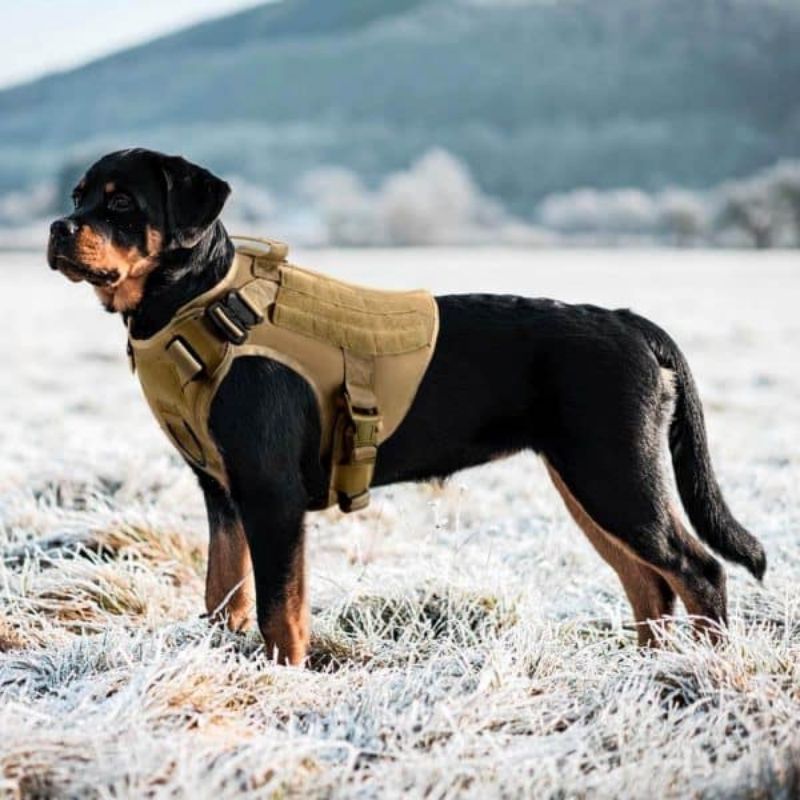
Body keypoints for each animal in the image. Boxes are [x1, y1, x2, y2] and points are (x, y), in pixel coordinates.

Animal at [47, 148, 764, 664]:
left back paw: (708, 673)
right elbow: (225, 592)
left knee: (697, 570)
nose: (58, 226)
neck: (197, 301)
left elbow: (282, 609)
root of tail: (629, 321)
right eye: (78, 196)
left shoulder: (270, 493)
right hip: (591, 483)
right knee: (649, 583)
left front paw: (284, 681)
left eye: (120, 202)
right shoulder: (222, 493)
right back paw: (649, 672)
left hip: (615, 475)